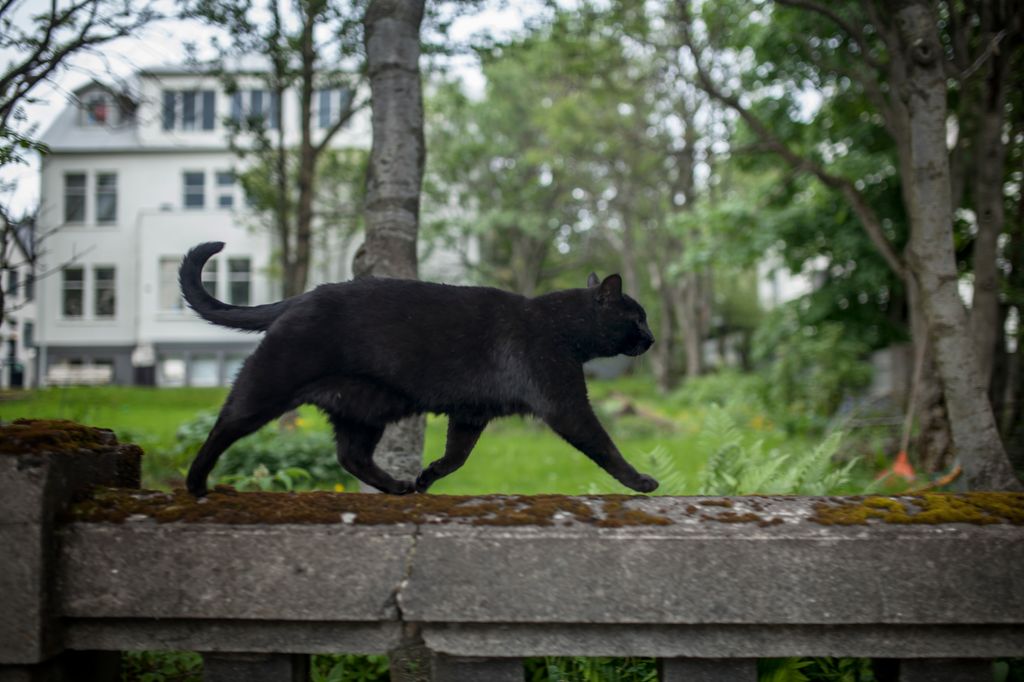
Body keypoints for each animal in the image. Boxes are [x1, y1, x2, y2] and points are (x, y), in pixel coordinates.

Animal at [180, 241, 659, 497]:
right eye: (637, 318)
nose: (652, 338)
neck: (559, 326)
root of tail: (298, 297)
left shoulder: (471, 415)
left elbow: (456, 457)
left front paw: (427, 476)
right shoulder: (565, 405)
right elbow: (605, 447)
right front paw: (640, 481)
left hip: (364, 409)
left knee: (351, 456)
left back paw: (398, 486)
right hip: (267, 387)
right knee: (223, 426)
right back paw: (196, 484)